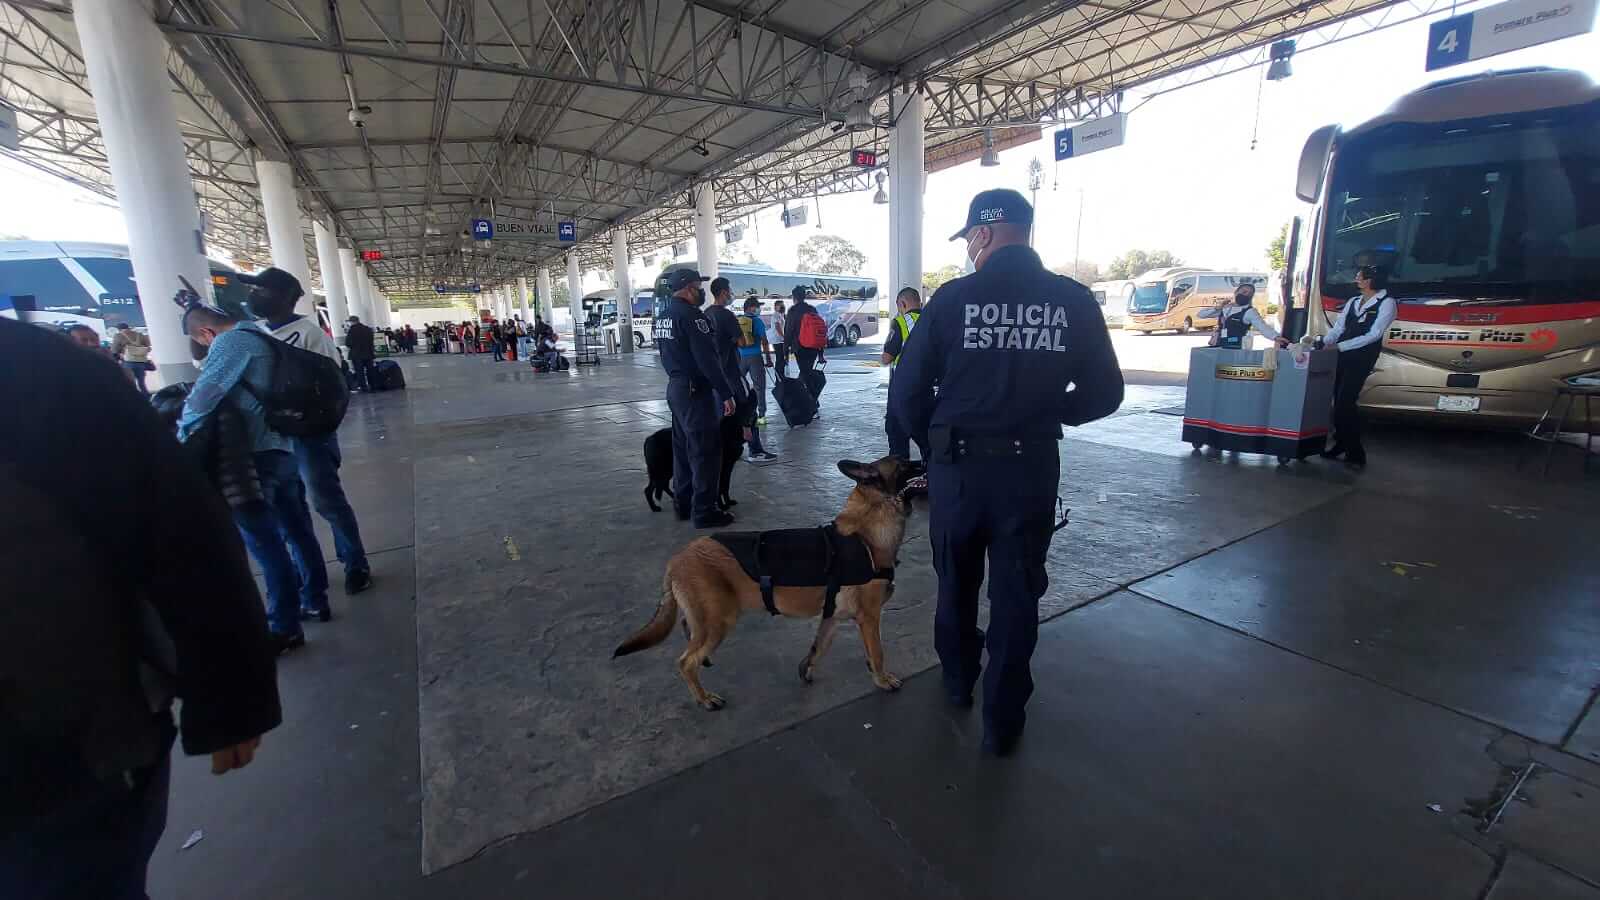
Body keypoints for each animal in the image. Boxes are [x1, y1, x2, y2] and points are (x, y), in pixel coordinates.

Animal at [617, 454, 934, 707]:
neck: (868, 530)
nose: (927, 458)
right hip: (719, 621)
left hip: (706, 619)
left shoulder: (831, 616)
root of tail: (676, 559)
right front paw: (882, 680)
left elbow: (818, 647)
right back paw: (704, 699)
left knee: (688, 630)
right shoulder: (869, 618)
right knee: (685, 662)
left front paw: (806, 669)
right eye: (903, 463)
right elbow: (877, 653)